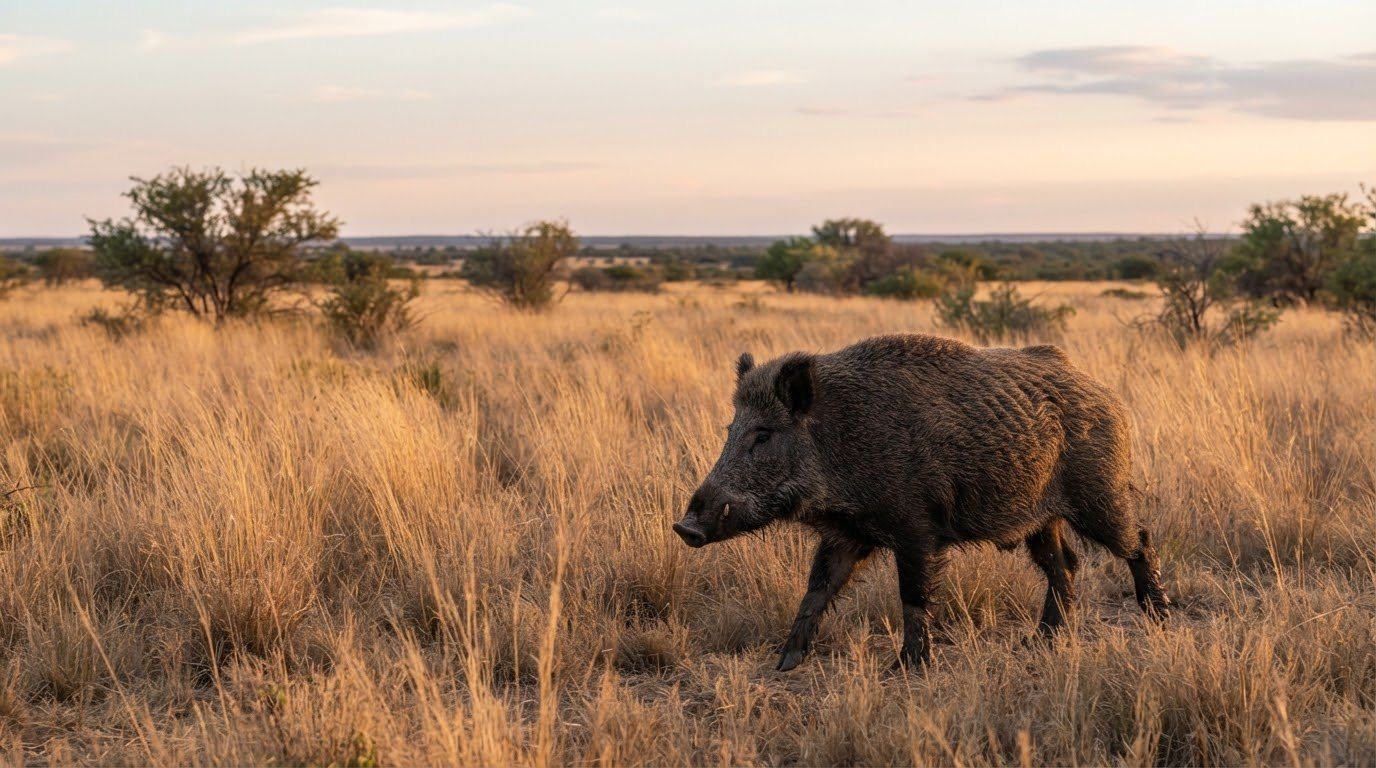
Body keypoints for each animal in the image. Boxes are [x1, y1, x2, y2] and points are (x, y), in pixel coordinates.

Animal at [674, 333, 1171, 671]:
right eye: (730, 430)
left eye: (763, 434)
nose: (685, 527)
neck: (839, 442)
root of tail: (1108, 395)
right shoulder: (847, 534)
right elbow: (816, 590)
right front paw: (785, 663)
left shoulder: (916, 527)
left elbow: (912, 594)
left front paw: (908, 667)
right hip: (1039, 517)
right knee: (1063, 563)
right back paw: (1038, 642)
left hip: (1099, 494)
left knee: (1139, 540)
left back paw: (1158, 617)